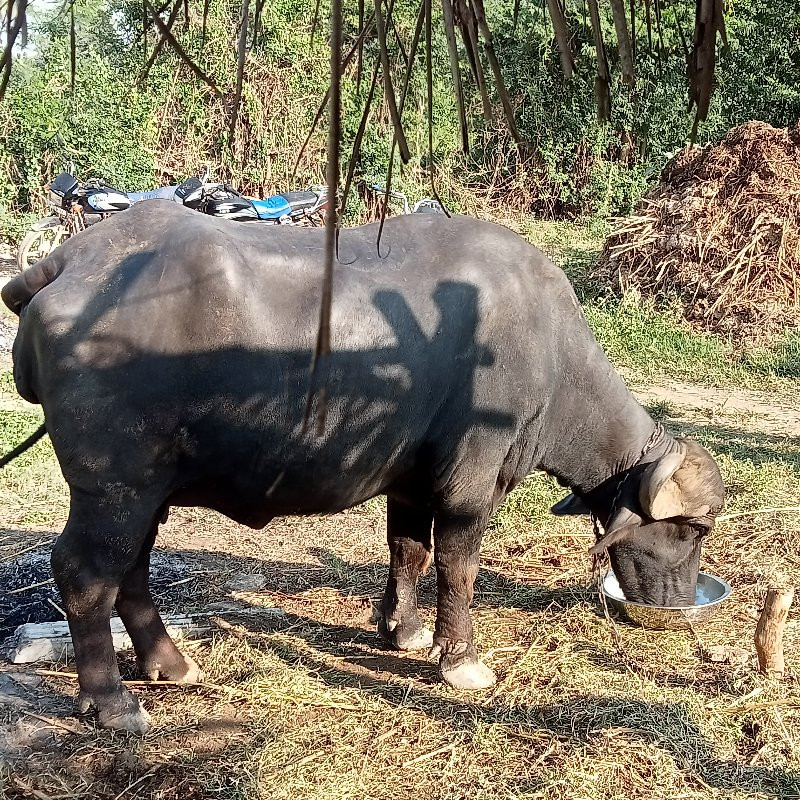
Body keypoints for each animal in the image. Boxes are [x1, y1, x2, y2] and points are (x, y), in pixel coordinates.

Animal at [1, 203, 724, 736]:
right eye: (693, 530)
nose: (681, 602)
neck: (551, 358)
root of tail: (70, 260)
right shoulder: (469, 485)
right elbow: (458, 568)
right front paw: (459, 659)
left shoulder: (410, 480)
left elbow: (408, 551)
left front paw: (401, 629)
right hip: (113, 487)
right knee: (86, 572)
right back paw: (112, 700)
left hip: (147, 488)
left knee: (132, 570)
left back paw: (169, 664)